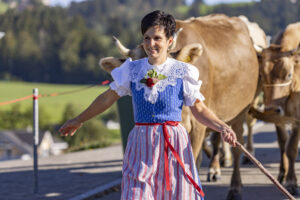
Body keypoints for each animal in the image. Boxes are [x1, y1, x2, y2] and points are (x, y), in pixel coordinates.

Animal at [255, 22, 300, 195]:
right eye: (261, 75)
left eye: (288, 75)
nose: (271, 109)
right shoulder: (277, 117)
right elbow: (283, 144)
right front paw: (283, 173)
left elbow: (291, 147)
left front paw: (292, 181)